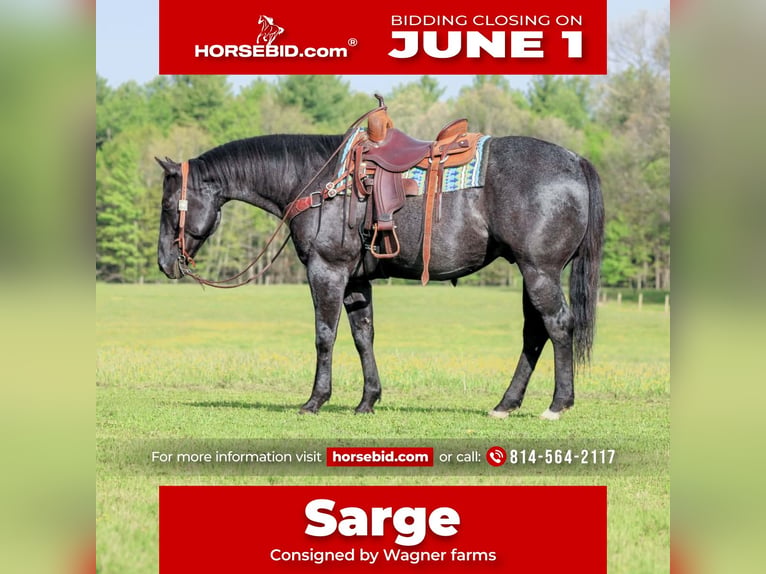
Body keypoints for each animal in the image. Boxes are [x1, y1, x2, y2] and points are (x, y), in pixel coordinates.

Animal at [155, 123, 604, 420]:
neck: (320, 182)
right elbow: (362, 337)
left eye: (167, 205)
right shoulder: (356, 280)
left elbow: (325, 336)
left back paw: (557, 404)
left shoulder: (327, 271)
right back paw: (505, 404)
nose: (164, 262)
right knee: (535, 333)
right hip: (532, 273)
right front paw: (367, 400)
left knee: (558, 326)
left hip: (540, 271)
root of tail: (575, 161)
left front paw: (315, 400)